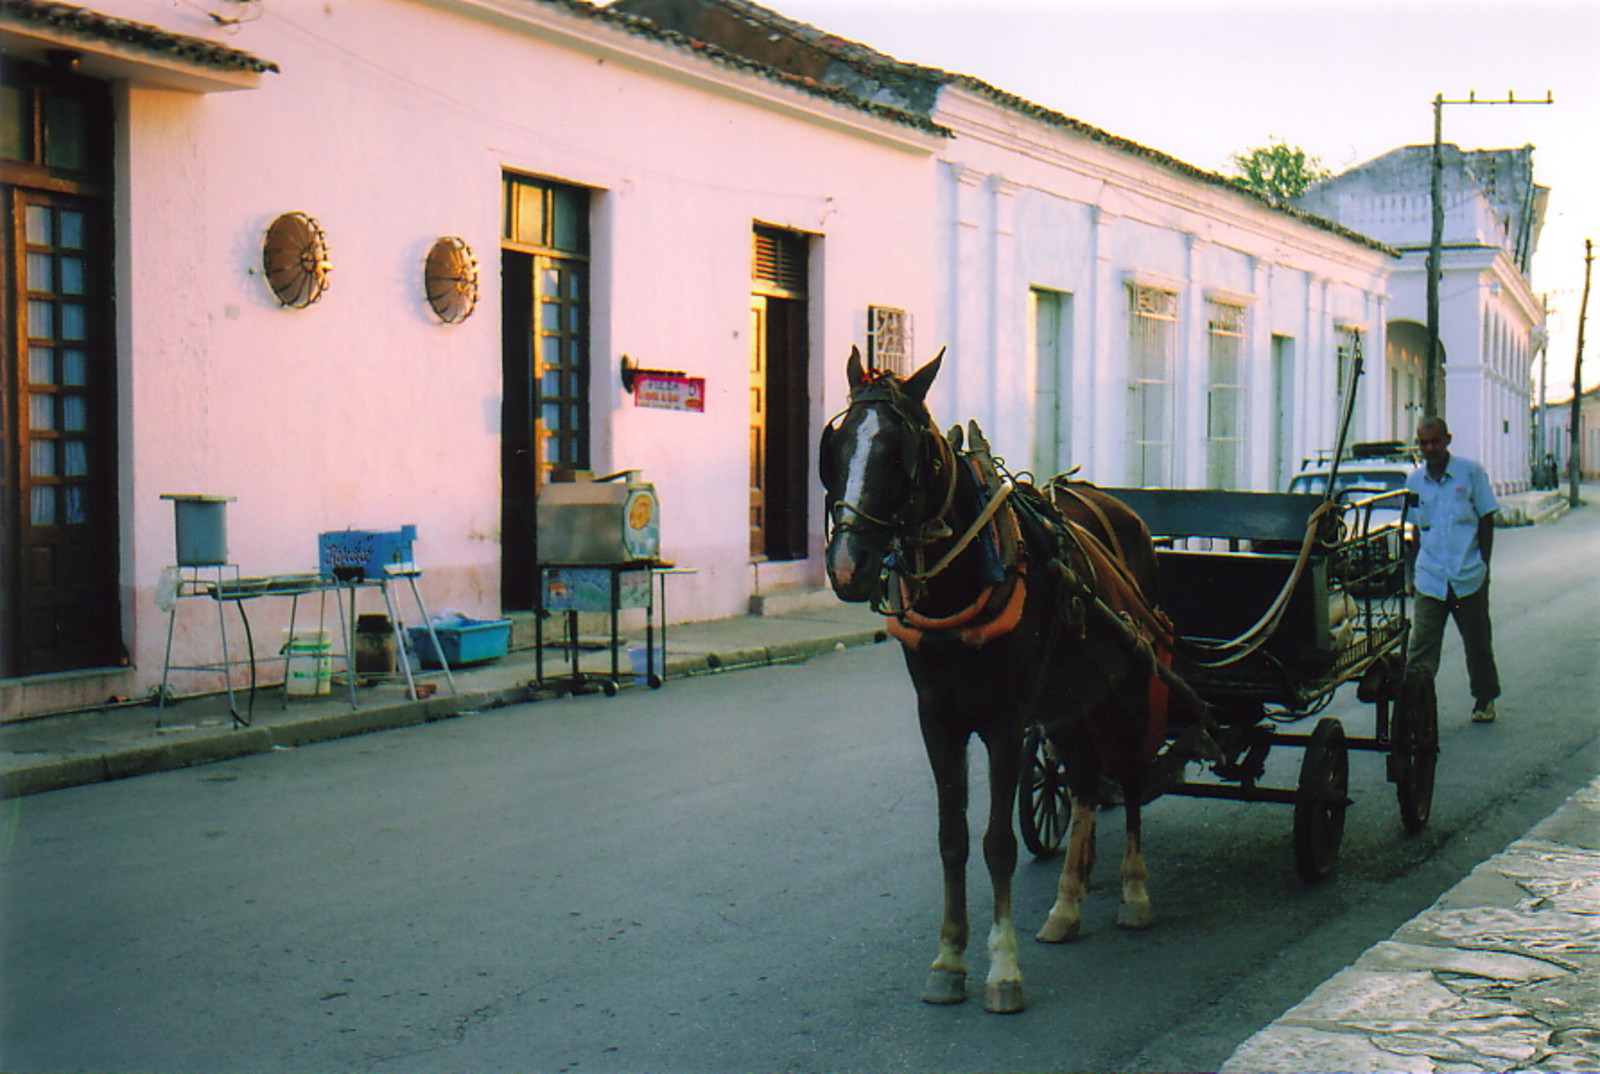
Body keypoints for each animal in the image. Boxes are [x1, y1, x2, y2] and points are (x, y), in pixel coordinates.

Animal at [819, 347, 1203, 1017]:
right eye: (837, 446)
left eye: (899, 452)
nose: (847, 567)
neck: (966, 579)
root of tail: (1123, 510)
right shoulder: (938, 719)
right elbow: (951, 838)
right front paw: (949, 960)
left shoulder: (1003, 721)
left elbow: (998, 842)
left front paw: (1002, 969)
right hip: (1072, 698)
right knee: (1083, 779)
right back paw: (1067, 904)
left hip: (1129, 685)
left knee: (1129, 777)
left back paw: (1133, 893)